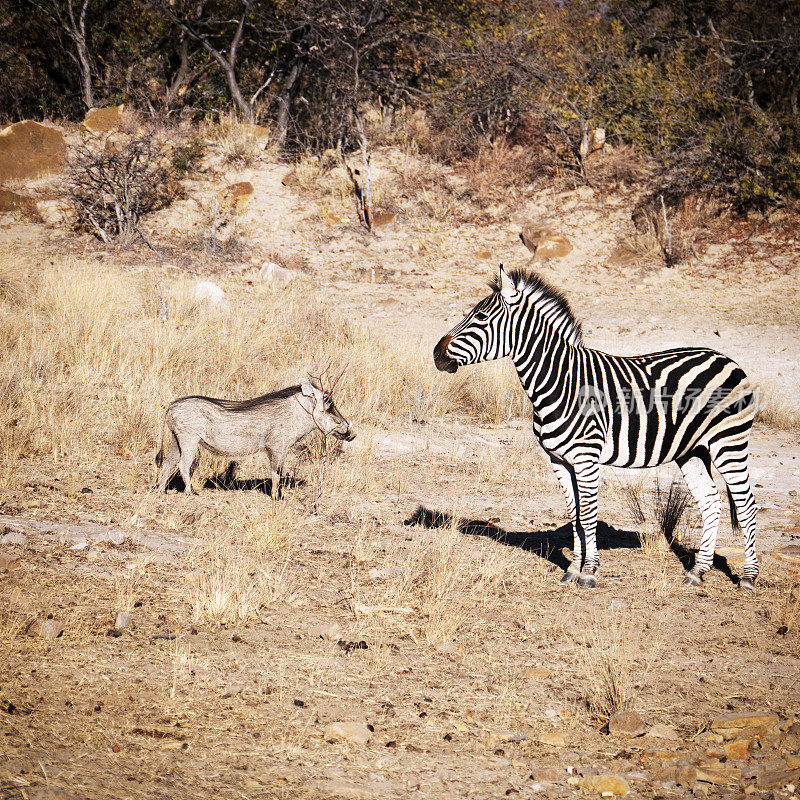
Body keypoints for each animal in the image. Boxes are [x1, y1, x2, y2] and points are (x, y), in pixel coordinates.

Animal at [434, 266, 760, 592]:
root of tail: (726, 358)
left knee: (746, 504)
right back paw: (697, 572)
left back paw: (748, 577)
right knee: (710, 502)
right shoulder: (559, 460)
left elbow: (589, 515)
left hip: (728, 442)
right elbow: (575, 514)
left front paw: (589, 572)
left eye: (480, 317)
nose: (437, 354)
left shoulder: (586, 458)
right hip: (692, 450)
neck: (560, 381)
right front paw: (573, 569)